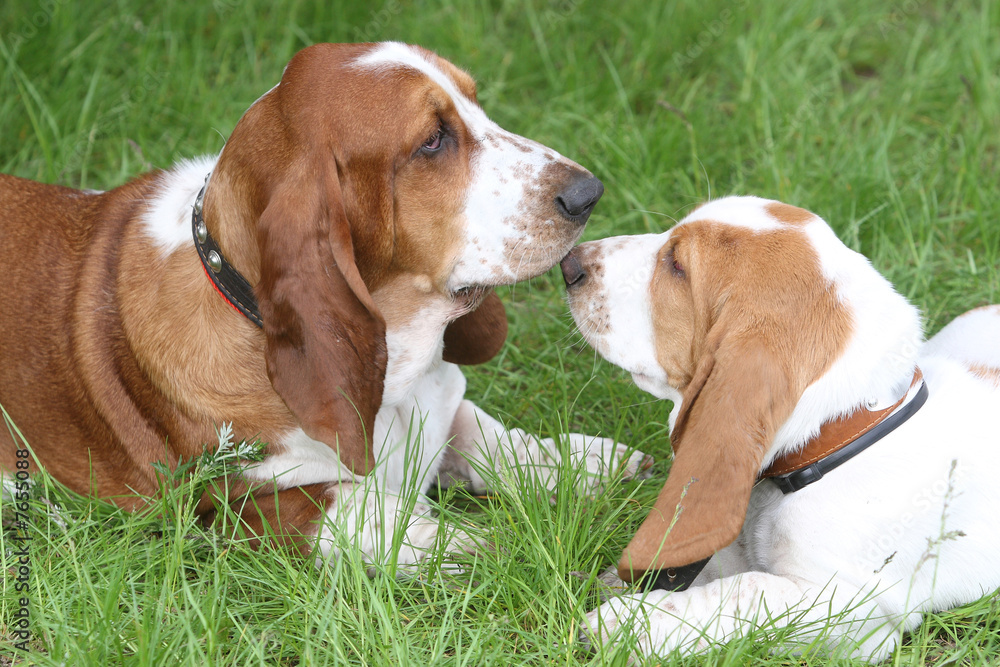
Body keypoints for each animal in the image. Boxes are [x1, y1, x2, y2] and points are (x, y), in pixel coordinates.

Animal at [0, 43, 648, 568]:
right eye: (432, 140)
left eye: (474, 102)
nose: (588, 193)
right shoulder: (243, 509)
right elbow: (380, 513)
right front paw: (491, 544)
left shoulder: (442, 401)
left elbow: (492, 439)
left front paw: (588, 463)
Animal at [564, 196, 1000, 660]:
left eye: (677, 265)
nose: (569, 263)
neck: (843, 433)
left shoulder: (851, 611)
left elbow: (744, 590)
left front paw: (622, 623)